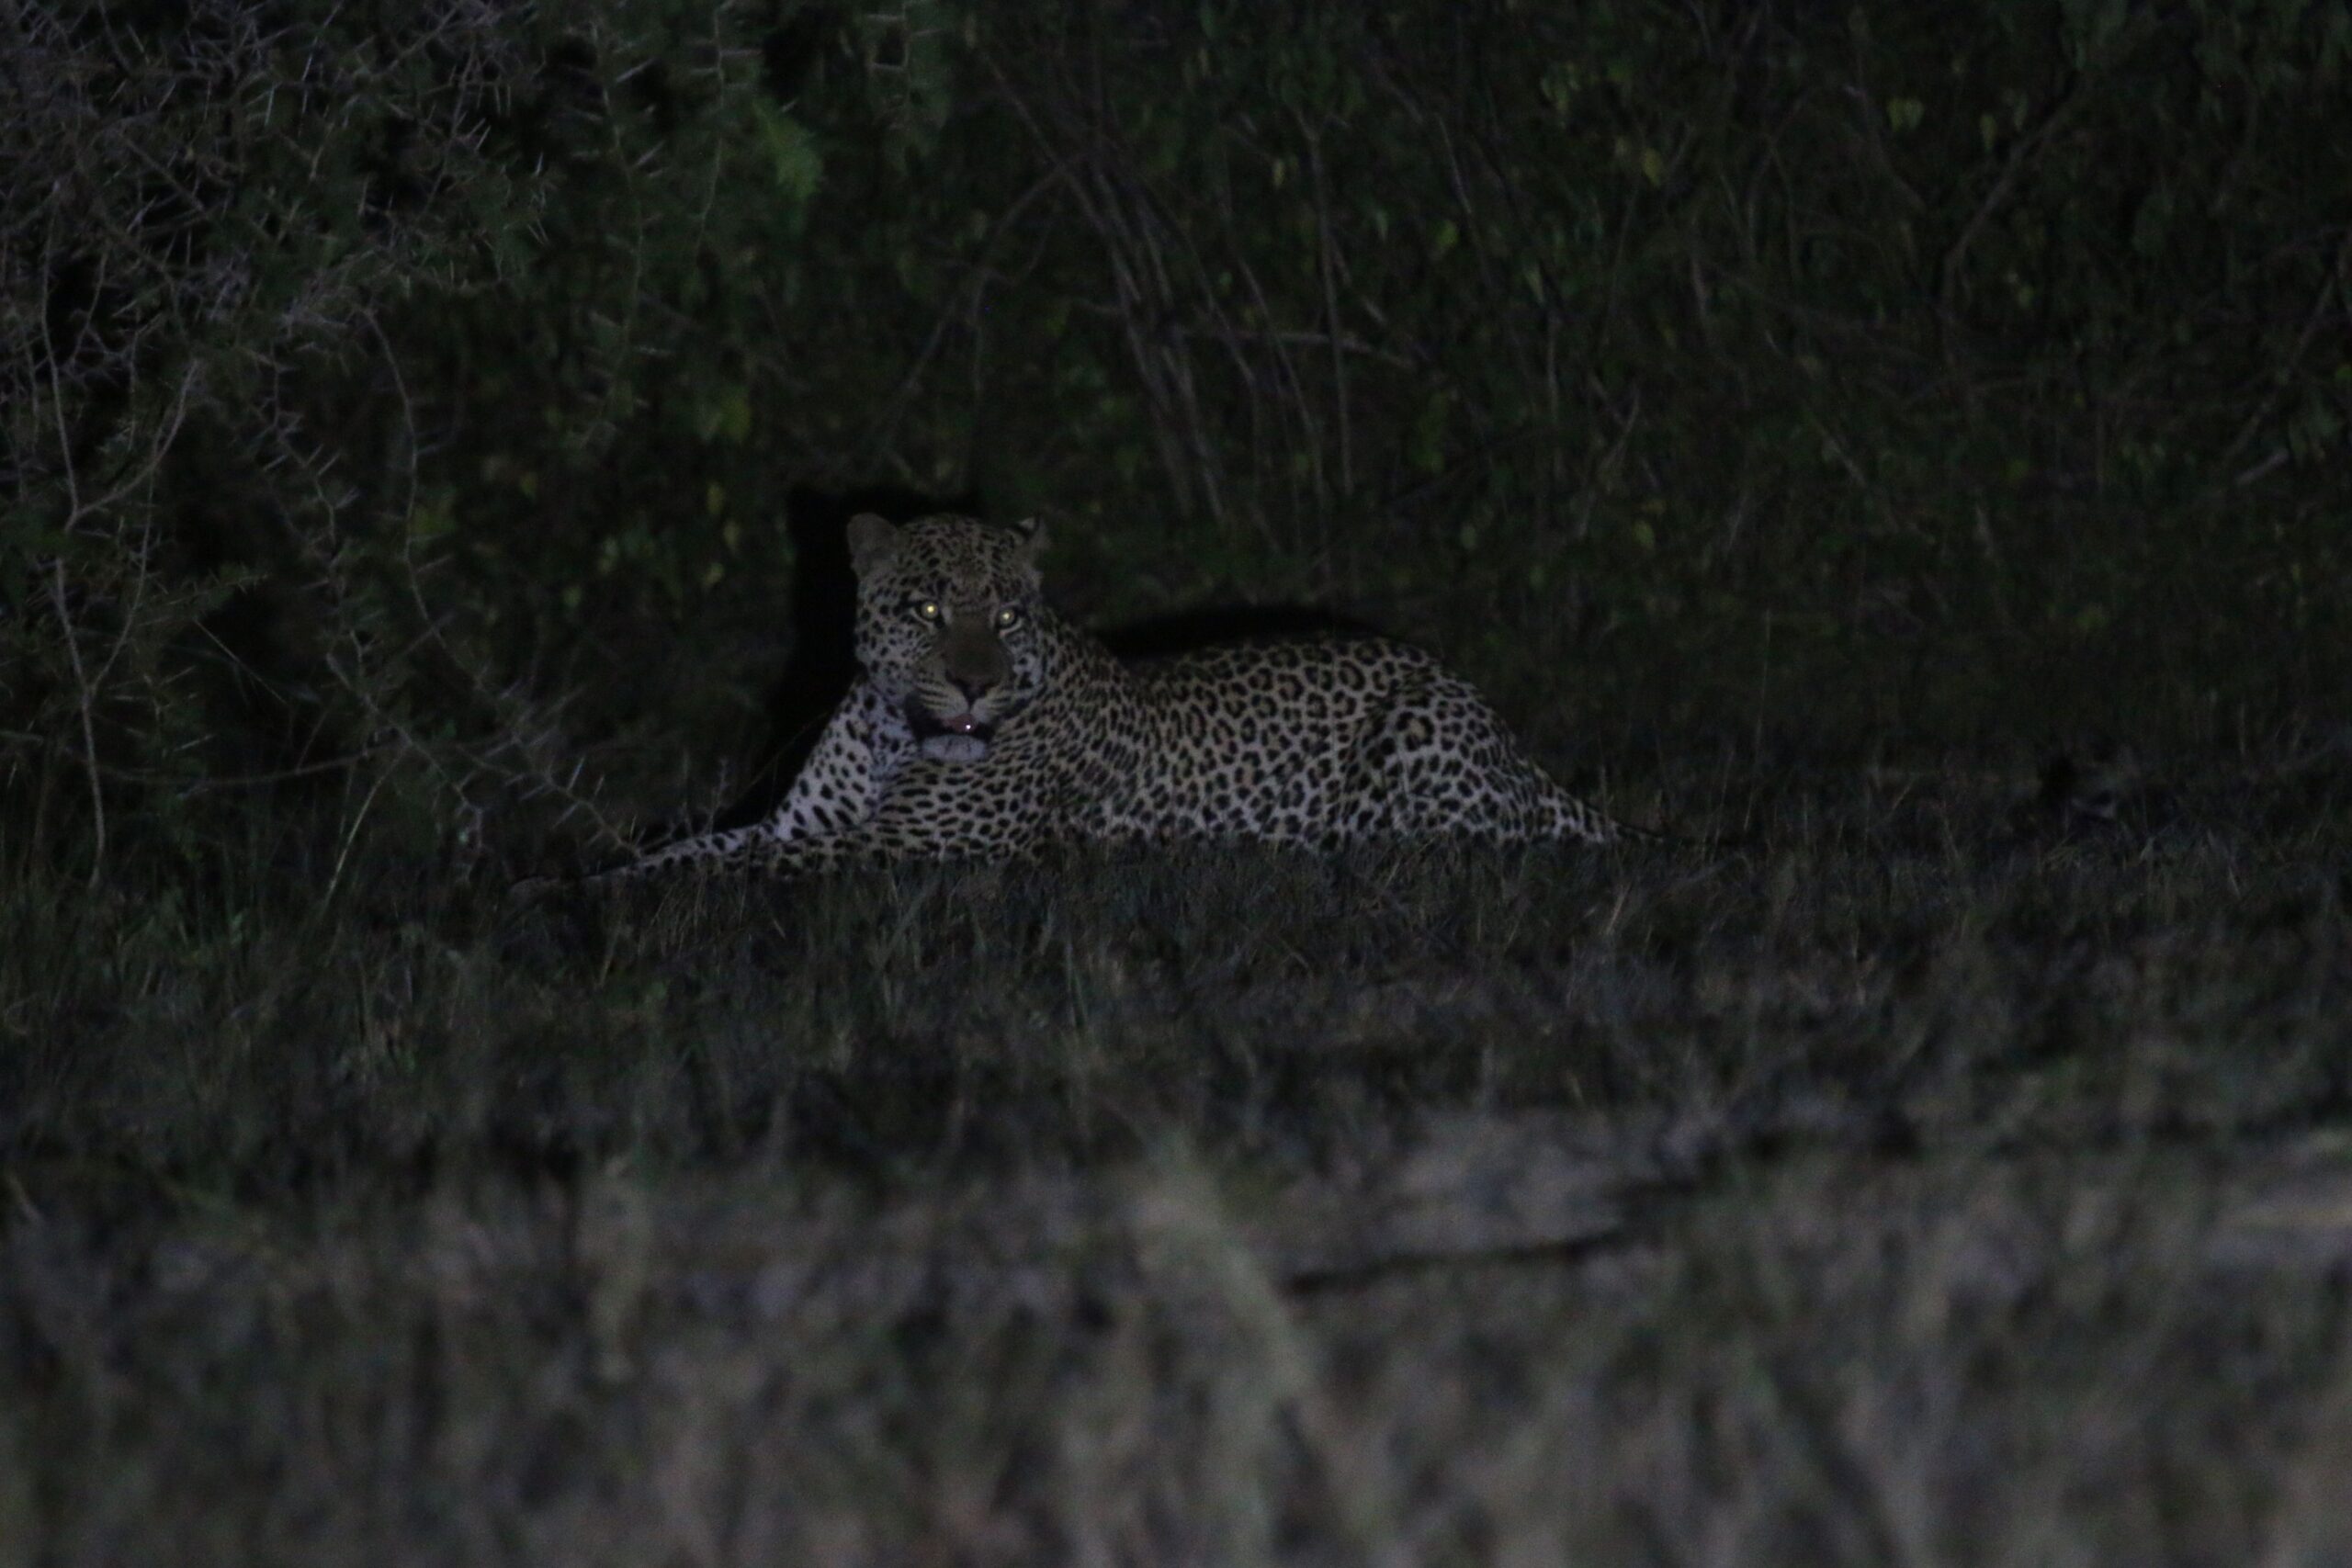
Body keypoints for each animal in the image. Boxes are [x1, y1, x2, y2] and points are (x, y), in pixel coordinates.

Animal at [574, 511, 1664, 885]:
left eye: (1007, 615)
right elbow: (692, 850)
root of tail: (1516, 745)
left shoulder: (913, 849)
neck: (894, 732)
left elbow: (744, 872)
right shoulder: (794, 819)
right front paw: (580, 882)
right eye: (926, 607)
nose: (974, 683)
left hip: (1417, 763)